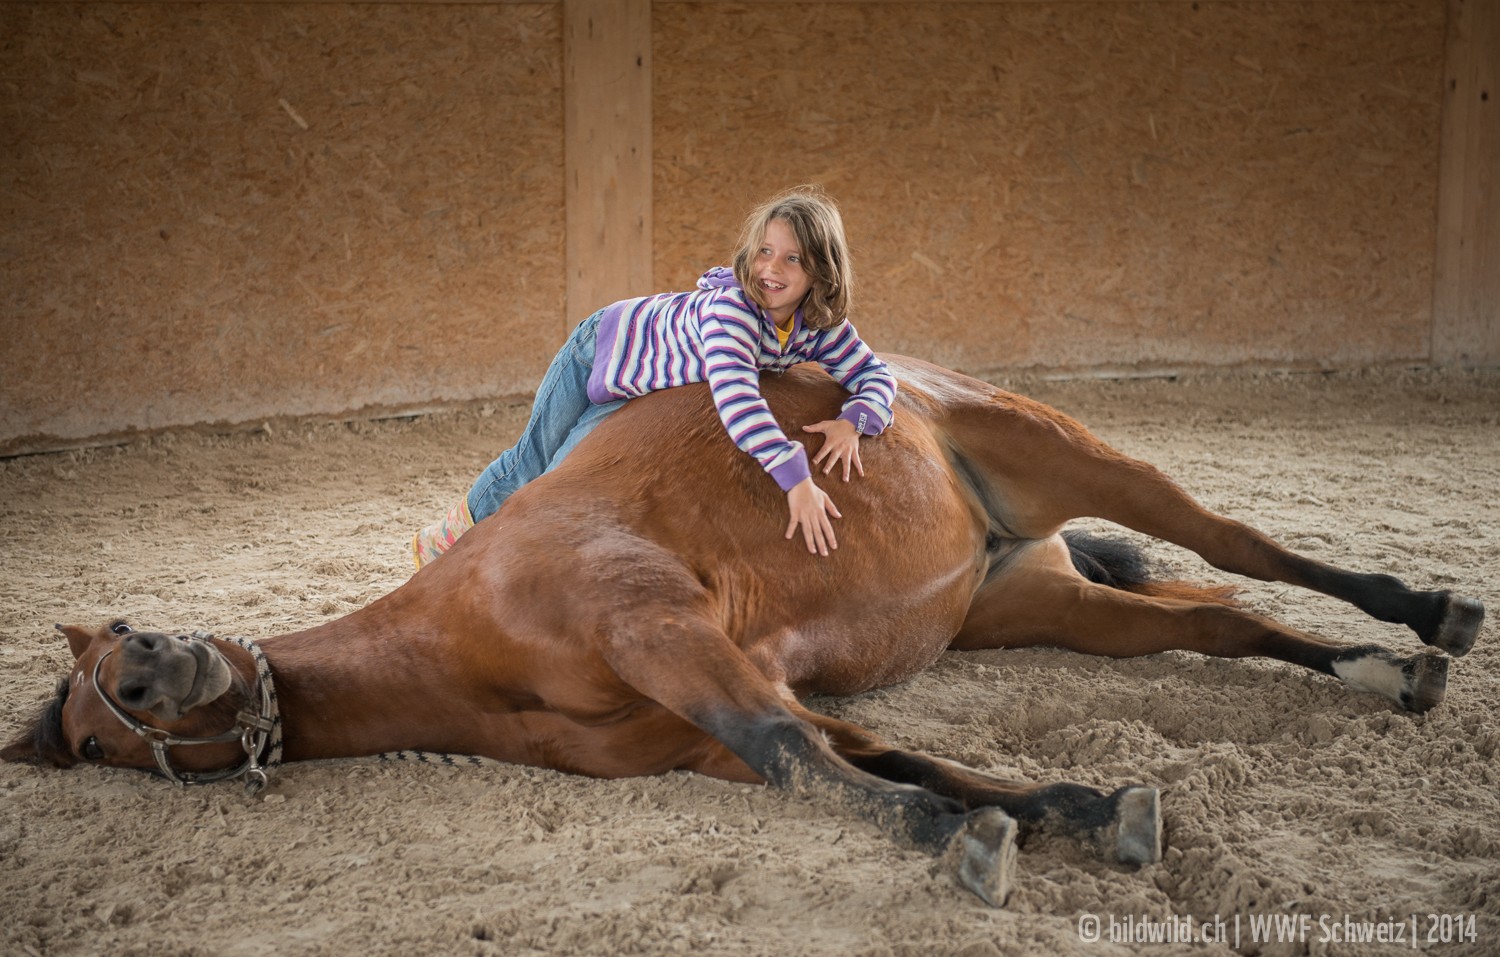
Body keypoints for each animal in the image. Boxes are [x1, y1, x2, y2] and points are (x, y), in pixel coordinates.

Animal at [2, 356, 1484, 907]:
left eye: (117, 647)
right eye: (95, 724)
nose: (156, 659)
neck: (466, 635)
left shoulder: (671, 637)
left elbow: (803, 757)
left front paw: (958, 839)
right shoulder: (695, 728)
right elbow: (871, 760)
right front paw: (1073, 809)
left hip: (1078, 460)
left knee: (1243, 550)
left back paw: (1429, 616)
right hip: (1035, 602)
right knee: (1223, 619)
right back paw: (1383, 672)